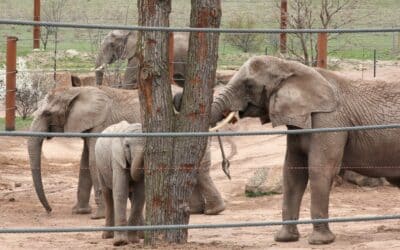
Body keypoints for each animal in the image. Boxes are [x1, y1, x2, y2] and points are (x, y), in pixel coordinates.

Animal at [27, 86, 225, 219]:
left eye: (47, 114)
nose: (49, 211)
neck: (77, 91)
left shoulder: (101, 124)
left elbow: (92, 161)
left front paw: (97, 217)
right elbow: (84, 163)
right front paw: (79, 212)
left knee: (198, 169)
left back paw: (213, 211)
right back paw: (197, 211)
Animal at [208, 54, 400, 244]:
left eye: (248, 84)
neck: (290, 66)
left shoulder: (328, 121)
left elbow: (319, 170)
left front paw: (320, 241)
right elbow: (292, 172)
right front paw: (285, 239)